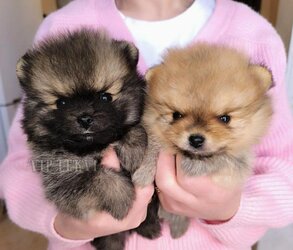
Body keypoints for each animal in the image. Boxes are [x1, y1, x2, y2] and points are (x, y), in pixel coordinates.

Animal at [16, 28, 160, 250]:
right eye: (62, 102)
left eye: (105, 97)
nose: (84, 118)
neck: (95, 146)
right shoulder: (61, 175)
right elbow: (98, 177)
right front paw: (122, 199)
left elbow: (134, 129)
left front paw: (132, 149)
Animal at [139, 43, 272, 238]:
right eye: (176, 115)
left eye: (225, 118)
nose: (195, 139)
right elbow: (153, 146)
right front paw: (142, 173)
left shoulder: (238, 164)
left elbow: (223, 159)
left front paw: (193, 166)